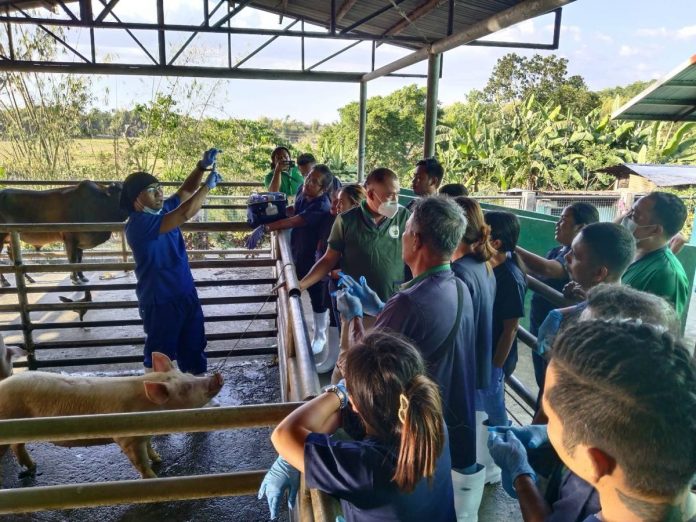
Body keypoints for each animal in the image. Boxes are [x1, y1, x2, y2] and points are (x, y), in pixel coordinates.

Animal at [0, 179, 129, 284]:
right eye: (121, 191)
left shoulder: (80, 242)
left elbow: (79, 260)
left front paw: (82, 277)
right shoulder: (70, 239)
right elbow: (72, 260)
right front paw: (75, 279)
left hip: (11, 237)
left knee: (12, 254)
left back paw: (28, 278)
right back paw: (5, 281)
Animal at [0, 352, 223, 482]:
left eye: (188, 374)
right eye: (186, 388)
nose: (217, 376)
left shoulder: (146, 433)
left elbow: (150, 447)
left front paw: (159, 458)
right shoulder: (127, 438)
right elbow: (140, 461)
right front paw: (153, 478)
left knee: (18, 445)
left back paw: (33, 466)